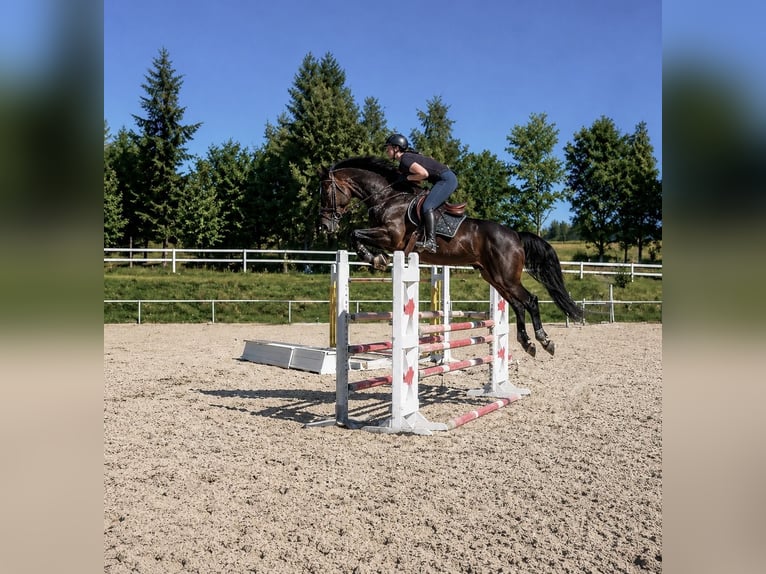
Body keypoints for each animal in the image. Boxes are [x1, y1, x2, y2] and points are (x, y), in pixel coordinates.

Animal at [317, 156, 583, 357]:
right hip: (493, 276)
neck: (388, 198)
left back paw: (544, 340)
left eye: (327, 191)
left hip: (506, 277)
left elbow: (355, 233)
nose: (325, 226)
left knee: (531, 301)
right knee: (518, 304)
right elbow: (356, 235)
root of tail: (515, 235)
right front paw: (376, 258)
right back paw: (526, 342)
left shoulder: (391, 237)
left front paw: (375, 259)